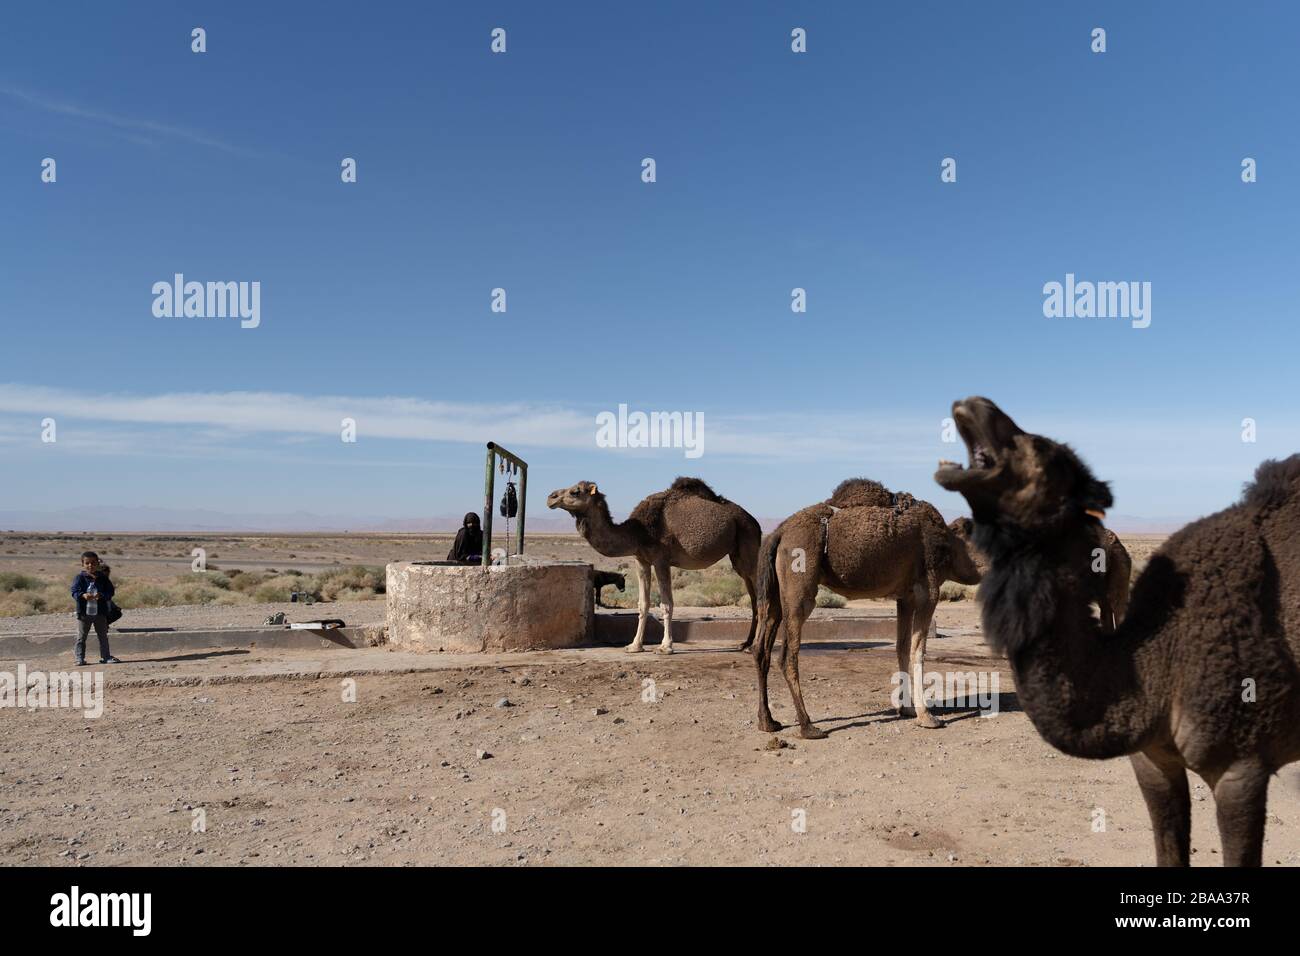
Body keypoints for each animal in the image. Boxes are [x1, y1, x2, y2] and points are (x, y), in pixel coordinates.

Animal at [546, 478, 759, 658]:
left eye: (575, 491)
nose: (551, 497)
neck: (637, 532)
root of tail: (754, 521)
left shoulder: (661, 560)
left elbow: (666, 604)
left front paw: (665, 647)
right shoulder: (641, 560)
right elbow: (643, 603)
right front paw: (634, 646)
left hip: (748, 544)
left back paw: (753, 647)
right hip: (738, 558)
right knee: (754, 597)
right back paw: (745, 644)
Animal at [754, 481, 982, 738]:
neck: (952, 545)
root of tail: (778, 533)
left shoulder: (905, 597)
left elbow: (902, 647)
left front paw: (906, 709)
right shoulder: (929, 590)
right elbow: (918, 651)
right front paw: (927, 717)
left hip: (774, 592)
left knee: (761, 648)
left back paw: (768, 722)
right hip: (799, 580)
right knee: (787, 655)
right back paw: (808, 726)